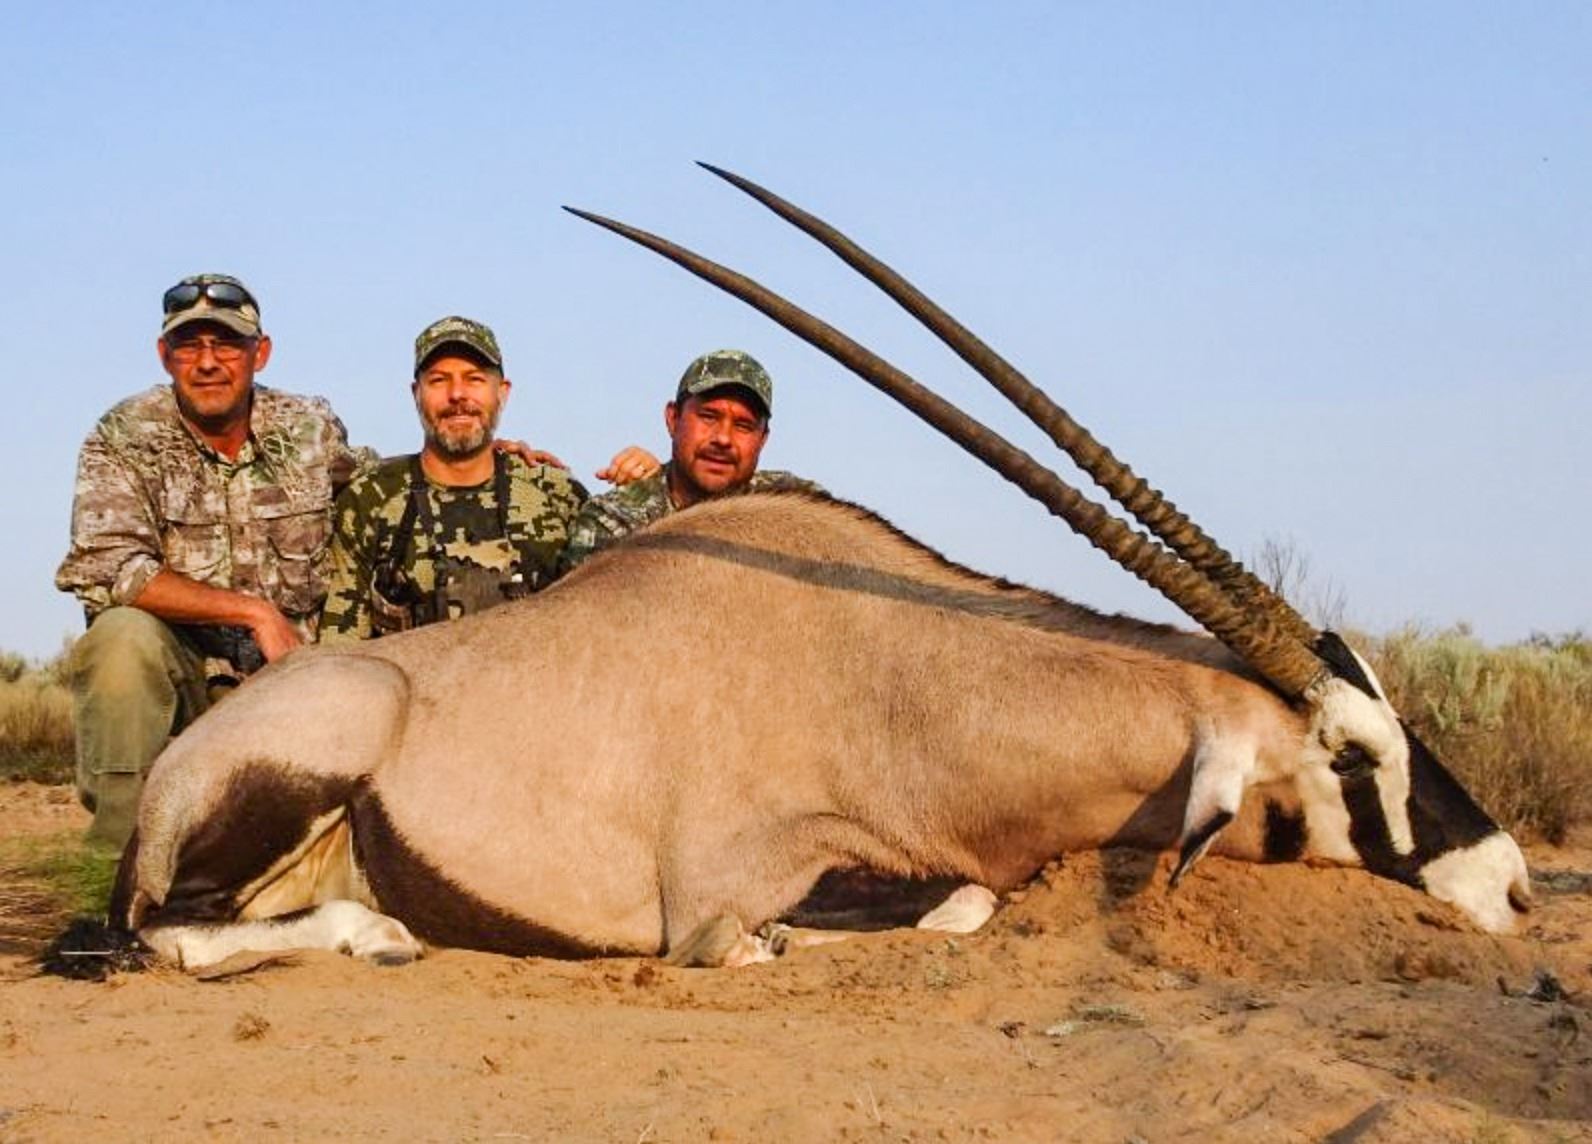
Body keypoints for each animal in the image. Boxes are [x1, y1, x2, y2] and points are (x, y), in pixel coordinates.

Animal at [98, 167, 1529, 973]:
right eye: (1346, 752)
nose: (1513, 884)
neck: (898, 680)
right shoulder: (723, 894)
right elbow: (941, 907)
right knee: (170, 932)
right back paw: (380, 933)